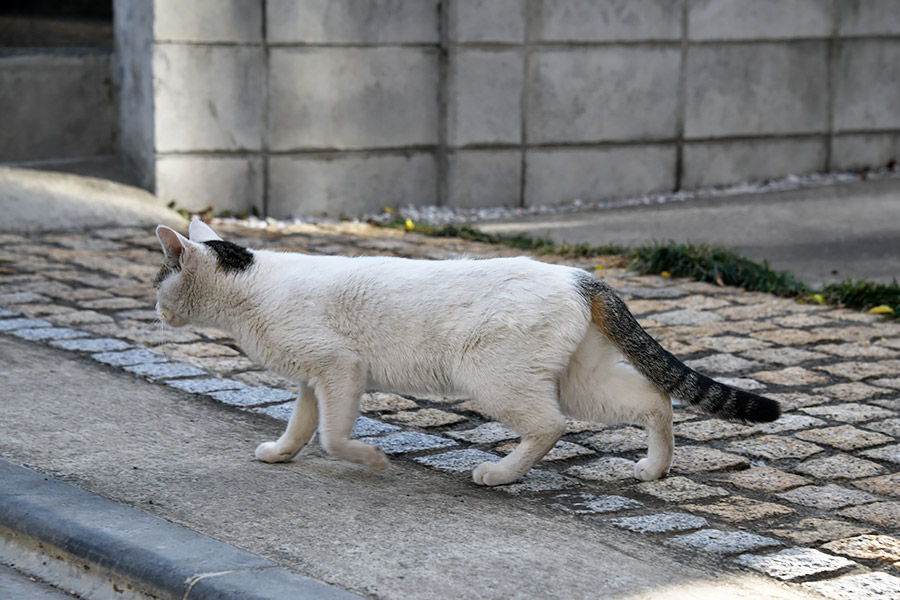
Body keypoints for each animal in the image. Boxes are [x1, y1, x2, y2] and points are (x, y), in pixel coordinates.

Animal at [151, 220, 776, 488]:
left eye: (159, 281)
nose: (154, 309)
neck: (250, 285)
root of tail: (581, 276)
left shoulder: (338, 369)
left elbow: (332, 436)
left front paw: (370, 461)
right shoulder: (314, 380)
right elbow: (304, 425)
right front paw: (281, 453)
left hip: (491, 377)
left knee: (550, 425)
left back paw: (499, 474)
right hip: (583, 379)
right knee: (654, 400)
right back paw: (654, 468)